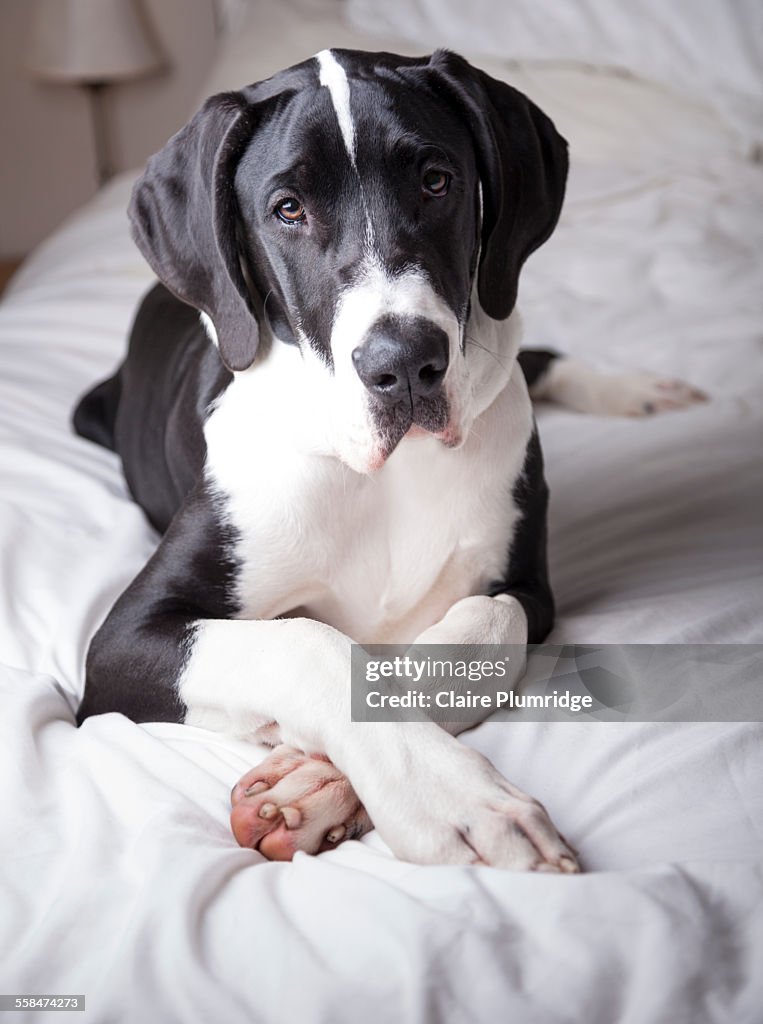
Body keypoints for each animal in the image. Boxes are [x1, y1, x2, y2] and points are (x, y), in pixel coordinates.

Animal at [74, 49, 704, 872]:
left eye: (435, 180)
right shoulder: (121, 641)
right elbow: (305, 645)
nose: (404, 363)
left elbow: (475, 627)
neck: (379, 473)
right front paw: (450, 797)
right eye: (287, 209)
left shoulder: (528, 589)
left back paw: (634, 390)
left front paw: (315, 784)